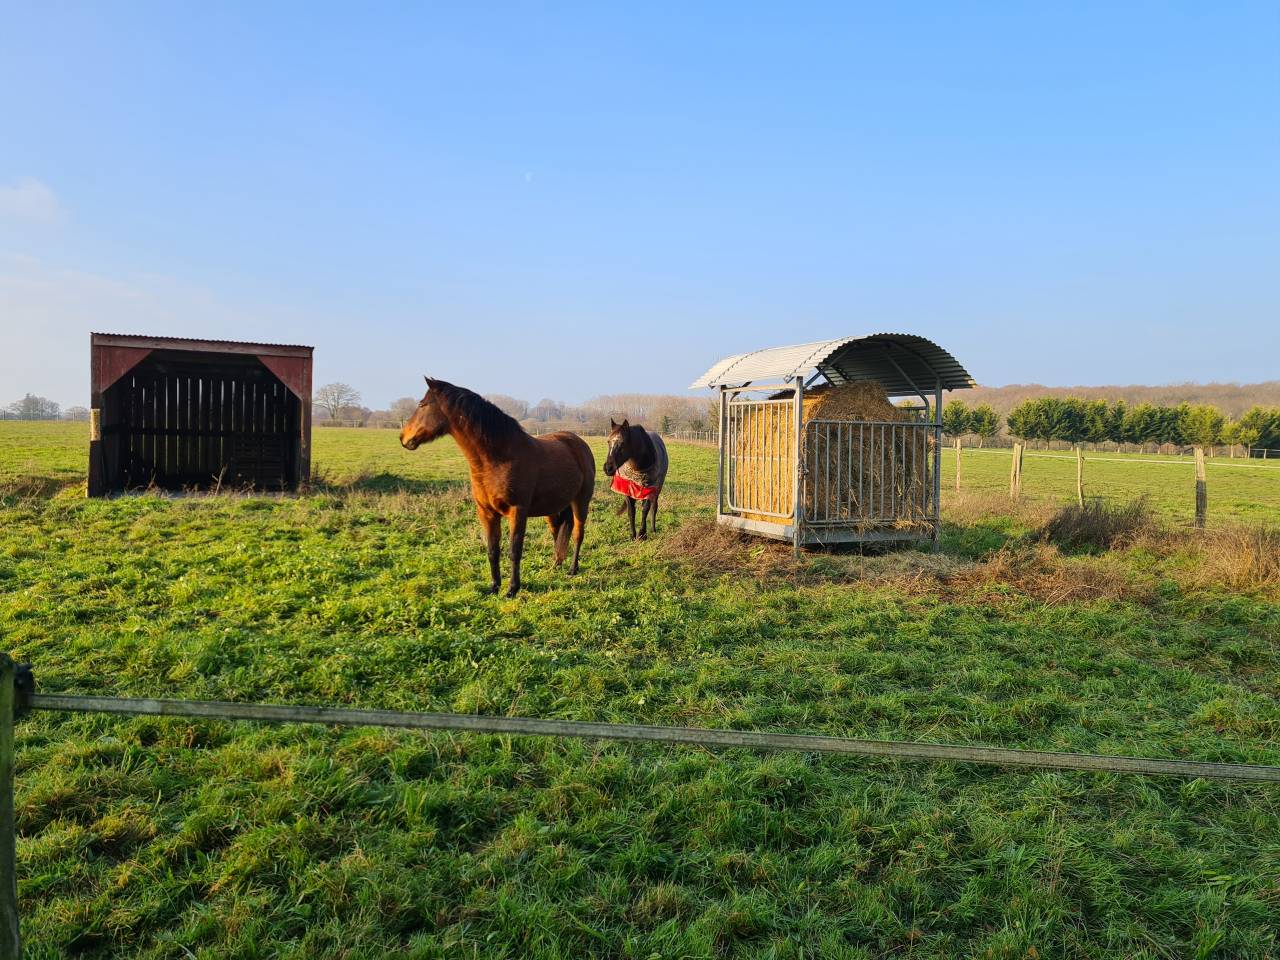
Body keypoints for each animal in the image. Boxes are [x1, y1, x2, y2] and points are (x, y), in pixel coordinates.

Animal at [400, 378, 595, 598]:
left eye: (421, 405)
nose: (403, 437)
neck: (497, 459)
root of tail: (578, 442)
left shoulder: (517, 511)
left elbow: (514, 550)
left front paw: (512, 589)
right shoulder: (486, 513)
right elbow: (493, 550)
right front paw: (494, 586)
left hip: (581, 501)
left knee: (578, 534)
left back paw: (572, 569)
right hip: (553, 508)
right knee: (557, 533)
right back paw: (556, 565)